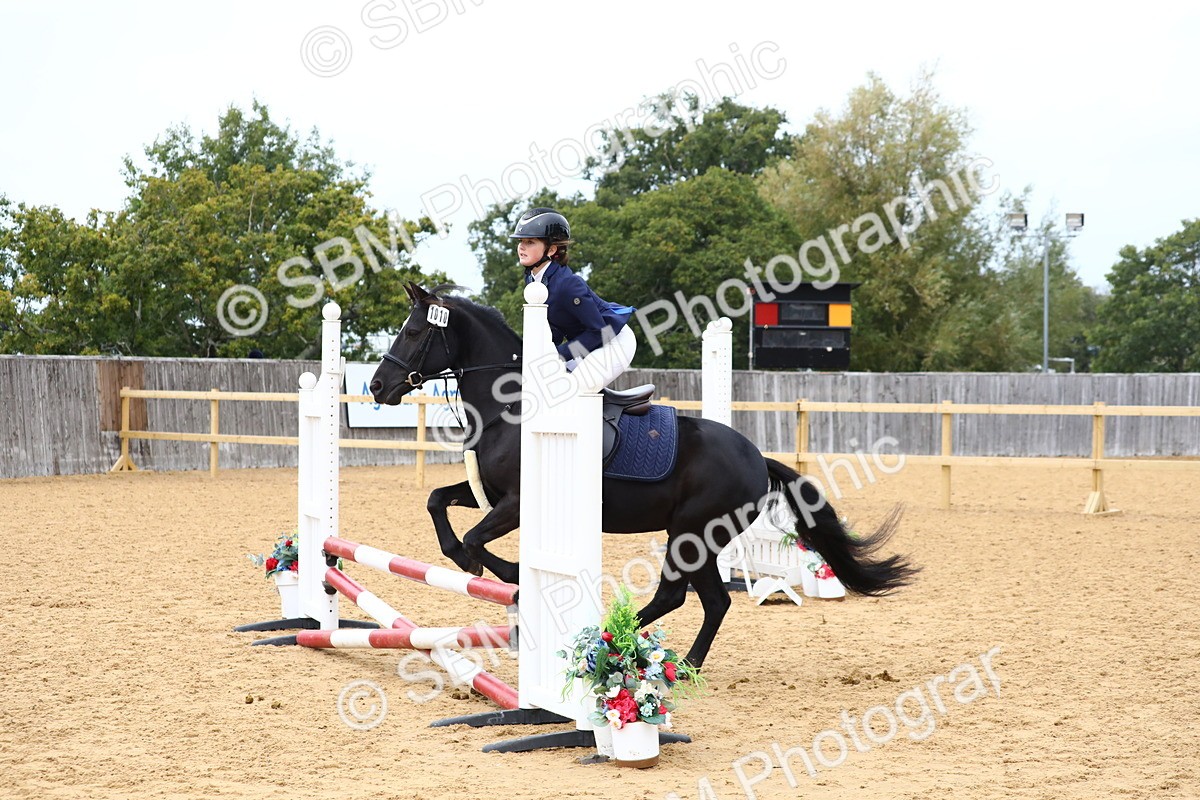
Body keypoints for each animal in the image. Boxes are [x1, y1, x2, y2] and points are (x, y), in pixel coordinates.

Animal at [369, 283, 916, 668]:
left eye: (413, 333)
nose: (377, 385)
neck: (510, 405)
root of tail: (757, 457)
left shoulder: (518, 503)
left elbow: (476, 541)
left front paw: (508, 574)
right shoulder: (491, 493)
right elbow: (438, 502)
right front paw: (472, 562)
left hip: (692, 533)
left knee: (688, 596)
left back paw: (631, 644)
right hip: (694, 536)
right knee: (705, 599)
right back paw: (671, 657)